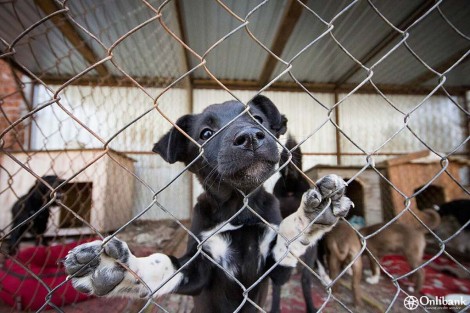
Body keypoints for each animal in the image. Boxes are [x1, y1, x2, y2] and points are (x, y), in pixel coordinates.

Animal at [63, 95, 352, 312]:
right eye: (206, 133)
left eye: (257, 119)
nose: (250, 136)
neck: (238, 207)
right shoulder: (198, 270)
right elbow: (162, 264)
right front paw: (117, 269)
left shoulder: (275, 270)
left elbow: (288, 238)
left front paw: (312, 214)